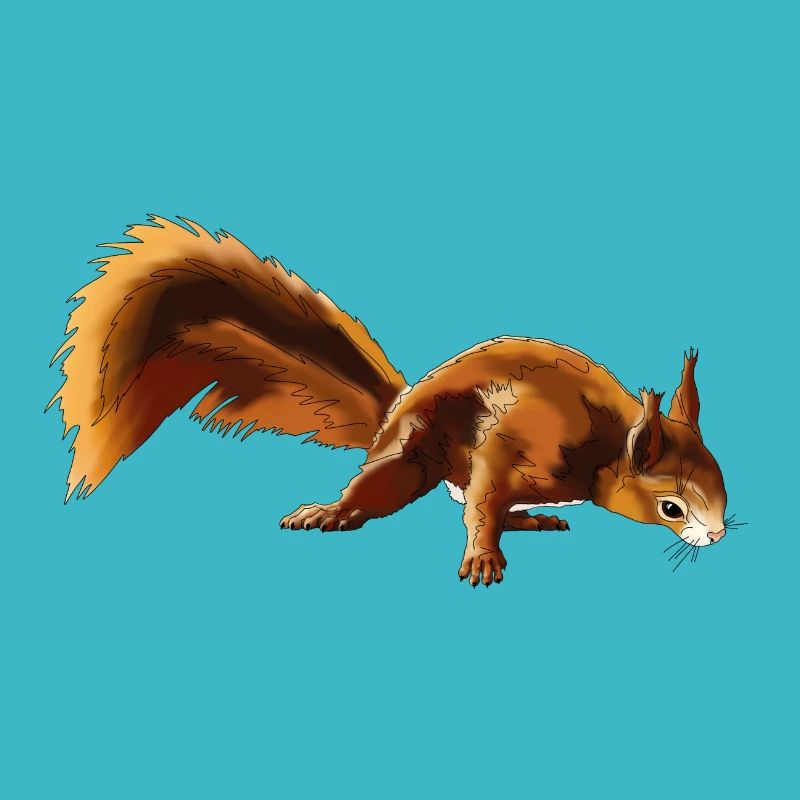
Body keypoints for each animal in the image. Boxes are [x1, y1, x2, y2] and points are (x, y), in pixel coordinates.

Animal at [50, 216, 729, 586]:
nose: (718, 535)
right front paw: (483, 557)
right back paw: (332, 512)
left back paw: (533, 520)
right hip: (410, 453)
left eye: (724, 481)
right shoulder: (515, 445)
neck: (606, 443)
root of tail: (393, 412)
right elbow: (484, 502)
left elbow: (484, 505)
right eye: (671, 507)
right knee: (394, 491)